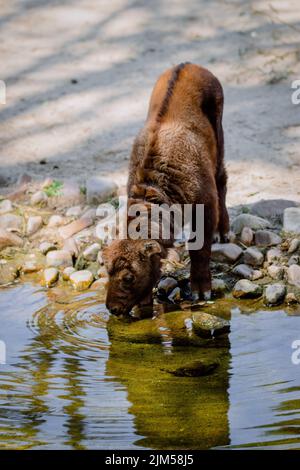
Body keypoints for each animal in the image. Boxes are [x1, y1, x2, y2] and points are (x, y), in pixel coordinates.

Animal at [102, 62, 229, 316]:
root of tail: (190, 65)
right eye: (107, 271)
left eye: (128, 277)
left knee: (222, 179)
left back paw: (223, 232)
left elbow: (199, 250)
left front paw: (201, 291)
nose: (113, 309)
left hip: (219, 143)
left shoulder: (205, 208)